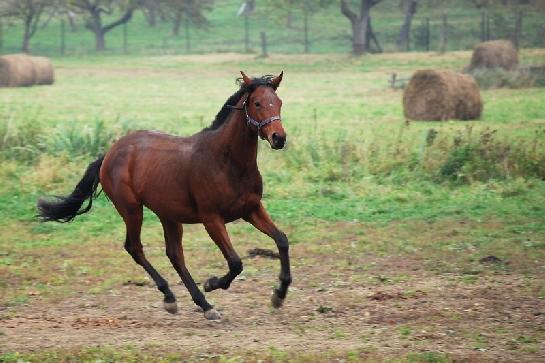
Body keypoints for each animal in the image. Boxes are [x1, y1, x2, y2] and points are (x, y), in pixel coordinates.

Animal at [38, 72, 292, 322]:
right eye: (257, 103)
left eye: (279, 102)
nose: (278, 138)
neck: (227, 161)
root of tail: (109, 153)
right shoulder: (211, 218)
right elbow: (235, 262)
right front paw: (211, 283)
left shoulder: (251, 209)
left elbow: (281, 239)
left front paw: (279, 295)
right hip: (131, 210)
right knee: (135, 247)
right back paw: (173, 297)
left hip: (168, 214)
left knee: (174, 254)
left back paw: (203, 305)